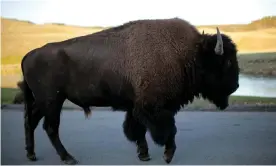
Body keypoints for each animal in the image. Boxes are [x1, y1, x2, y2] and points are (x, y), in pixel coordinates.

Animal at [19, 17, 239, 165]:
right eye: (227, 62)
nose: (236, 86)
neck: (188, 54)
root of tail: (28, 55)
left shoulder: (137, 107)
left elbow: (137, 129)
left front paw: (144, 154)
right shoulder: (154, 108)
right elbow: (168, 129)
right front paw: (168, 155)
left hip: (43, 102)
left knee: (31, 121)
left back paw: (31, 154)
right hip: (52, 101)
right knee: (50, 127)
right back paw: (68, 158)